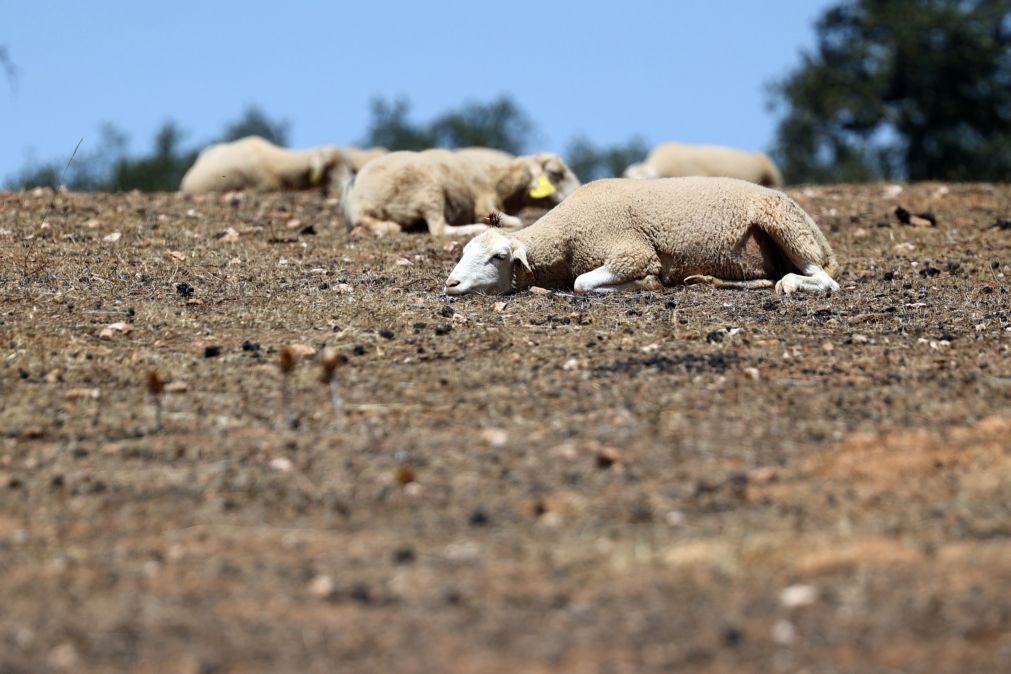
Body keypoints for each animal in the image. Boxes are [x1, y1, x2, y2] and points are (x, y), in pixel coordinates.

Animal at [339, 149, 582, 237]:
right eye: (556, 174)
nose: (578, 192)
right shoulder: (486, 205)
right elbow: (518, 222)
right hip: (428, 189)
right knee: (439, 229)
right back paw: (478, 228)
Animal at [446, 176, 841, 295]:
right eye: (463, 252)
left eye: (497, 257)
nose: (450, 284)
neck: (567, 234)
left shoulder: (631, 252)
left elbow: (582, 283)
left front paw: (648, 283)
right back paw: (706, 279)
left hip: (783, 224)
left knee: (824, 280)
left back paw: (793, 284)